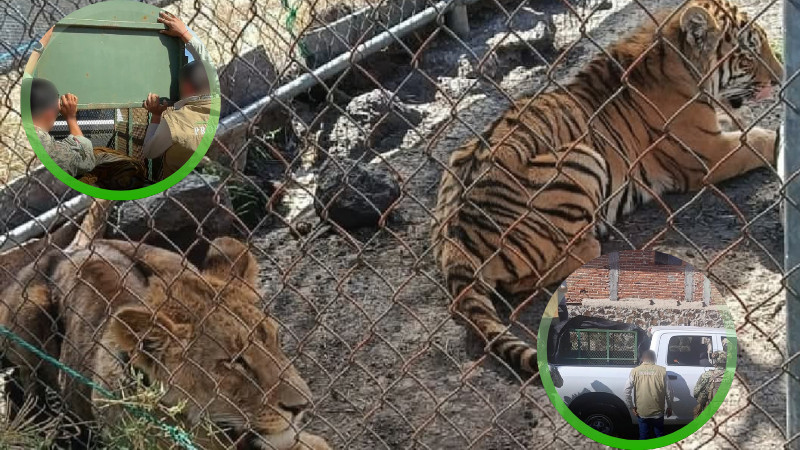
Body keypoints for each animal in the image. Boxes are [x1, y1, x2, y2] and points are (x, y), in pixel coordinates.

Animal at [431, 0, 783, 375]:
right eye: (749, 53)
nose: (779, 79)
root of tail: (455, 241)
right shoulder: (709, 153)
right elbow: (759, 140)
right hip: (583, 159)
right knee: (531, 277)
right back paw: (596, 243)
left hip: (460, 156)